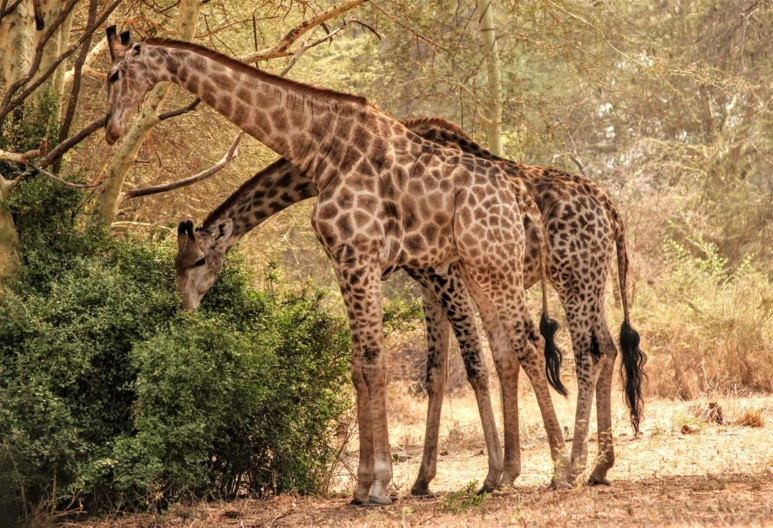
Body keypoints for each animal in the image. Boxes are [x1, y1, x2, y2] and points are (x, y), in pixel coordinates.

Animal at [104, 31, 572, 502]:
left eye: (114, 75)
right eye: (176, 264)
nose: (111, 129)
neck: (319, 149)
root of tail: (521, 199)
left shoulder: (364, 257)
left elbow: (375, 361)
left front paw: (381, 484)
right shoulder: (345, 261)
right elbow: (359, 365)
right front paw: (363, 487)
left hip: (497, 267)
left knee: (530, 342)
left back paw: (560, 471)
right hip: (482, 269)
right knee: (509, 348)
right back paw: (518, 472)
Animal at [173, 117, 644, 488]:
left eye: (197, 259)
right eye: (176, 262)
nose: (185, 307)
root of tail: (612, 210)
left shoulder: (443, 275)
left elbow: (474, 365)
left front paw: (489, 474)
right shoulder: (428, 281)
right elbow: (438, 372)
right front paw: (424, 479)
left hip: (572, 277)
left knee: (587, 353)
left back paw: (575, 465)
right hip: (591, 279)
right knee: (607, 348)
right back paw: (599, 466)